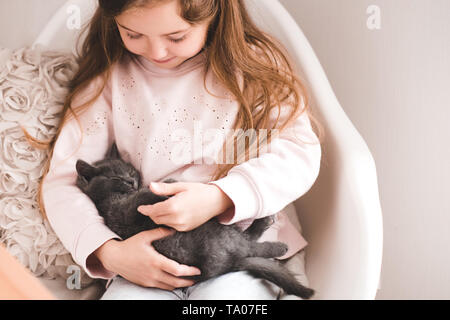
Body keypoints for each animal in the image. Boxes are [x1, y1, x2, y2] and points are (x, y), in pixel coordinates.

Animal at [75, 144, 314, 298]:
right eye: (116, 177)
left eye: (131, 171)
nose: (132, 181)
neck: (111, 198)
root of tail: (232, 263)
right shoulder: (122, 213)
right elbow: (141, 199)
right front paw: (166, 184)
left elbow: (144, 194)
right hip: (214, 242)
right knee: (249, 245)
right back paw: (278, 245)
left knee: (247, 239)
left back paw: (266, 224)